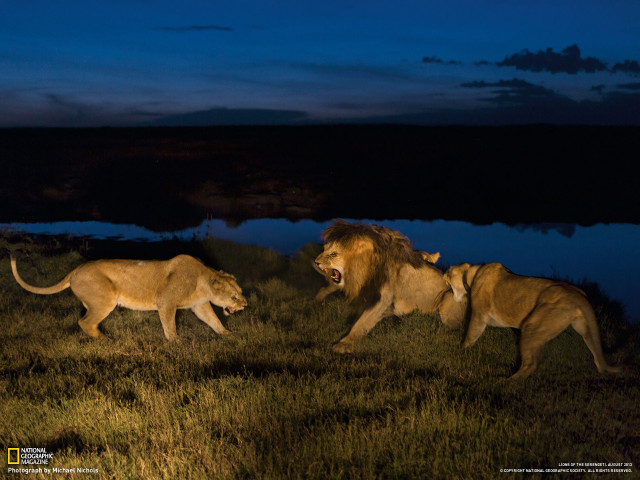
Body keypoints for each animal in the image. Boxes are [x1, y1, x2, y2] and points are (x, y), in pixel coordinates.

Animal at [10, 254, 247, 341]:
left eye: (241, 293)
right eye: (234, 297)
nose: (245, 304)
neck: (203, 280)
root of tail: (75, 270)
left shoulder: (200, 305)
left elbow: (213, 320)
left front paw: (228, 334)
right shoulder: (166, 301)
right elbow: (169, 324)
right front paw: (176, 342)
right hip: (105, 299)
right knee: (84, 322)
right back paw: (105, 340)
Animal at [314, 220, 465, 353]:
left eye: (333, 254)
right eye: (324, 249)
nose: (316, 262)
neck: (365, 269)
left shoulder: (383, 298)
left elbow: (362, 322)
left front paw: (344, 344)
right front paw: (318, 300)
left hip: (448, 296)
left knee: (453, 328)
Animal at [443, 262, 621, 380]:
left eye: (449, 277)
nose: (445, 275)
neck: (471, 274)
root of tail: (576, 293)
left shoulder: (479, 315)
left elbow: (470, 335)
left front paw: (460, 350)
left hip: (533, 325)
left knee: (531, 364)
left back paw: (506, 382)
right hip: (583, 327)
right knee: (596, 354)